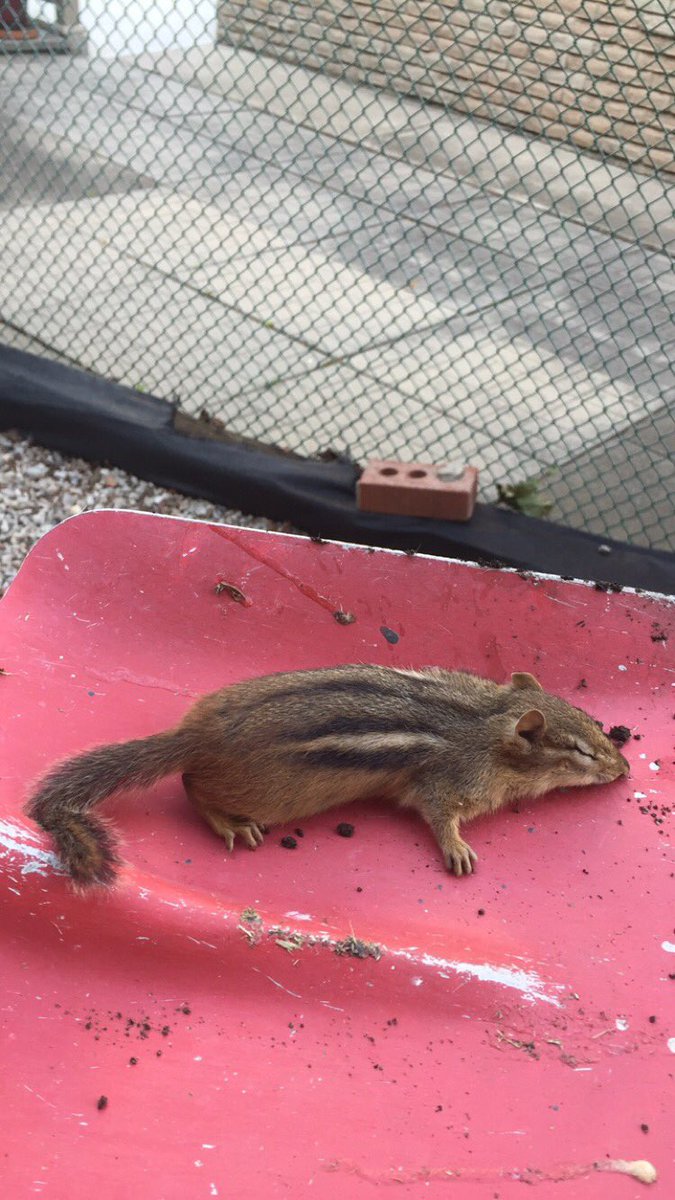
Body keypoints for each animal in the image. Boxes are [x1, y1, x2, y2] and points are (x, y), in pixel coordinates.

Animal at [25, 664, 629, 888]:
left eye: (596, 724)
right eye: (580, 751)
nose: (623, 768)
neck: (485, 720)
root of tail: (193, 737)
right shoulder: (448, 782)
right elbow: (439, 816)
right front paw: (457, 850)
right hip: (261, 795)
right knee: (192, 787)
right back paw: (228, 825)